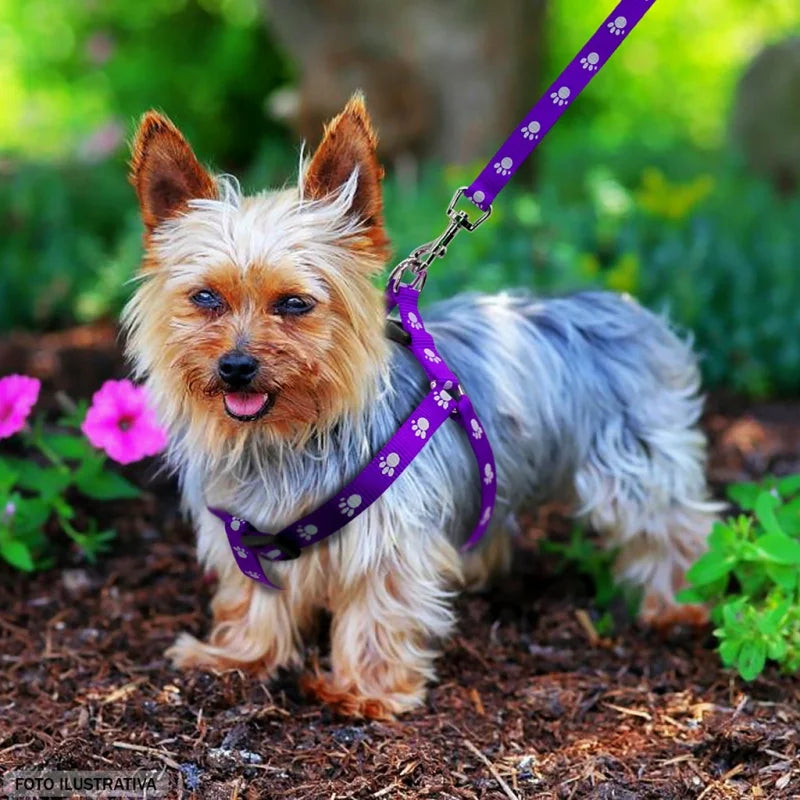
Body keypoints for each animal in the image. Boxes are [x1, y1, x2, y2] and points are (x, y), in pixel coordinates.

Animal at [123, 94, 720, 720]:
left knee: (673, 527)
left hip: (638, 465)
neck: (284, 437)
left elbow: (377, 612)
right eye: (205, 297)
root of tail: (623, 303)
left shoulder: (388, 538)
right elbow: (254, 598)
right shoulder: (245, 532)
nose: (235, 366)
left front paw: (365, 690)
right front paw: (239, 656)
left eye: (294, 303)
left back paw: (679, 604)